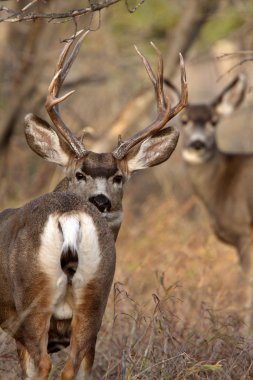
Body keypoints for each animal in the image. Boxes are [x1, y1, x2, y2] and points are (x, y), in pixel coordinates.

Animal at [0, 30, 187, 380]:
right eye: (79, 174)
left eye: (119, 177)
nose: (100, 201)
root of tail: (71, 216)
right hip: (95, 300)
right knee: (74, 366)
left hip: (32, 301)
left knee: (44, 364)